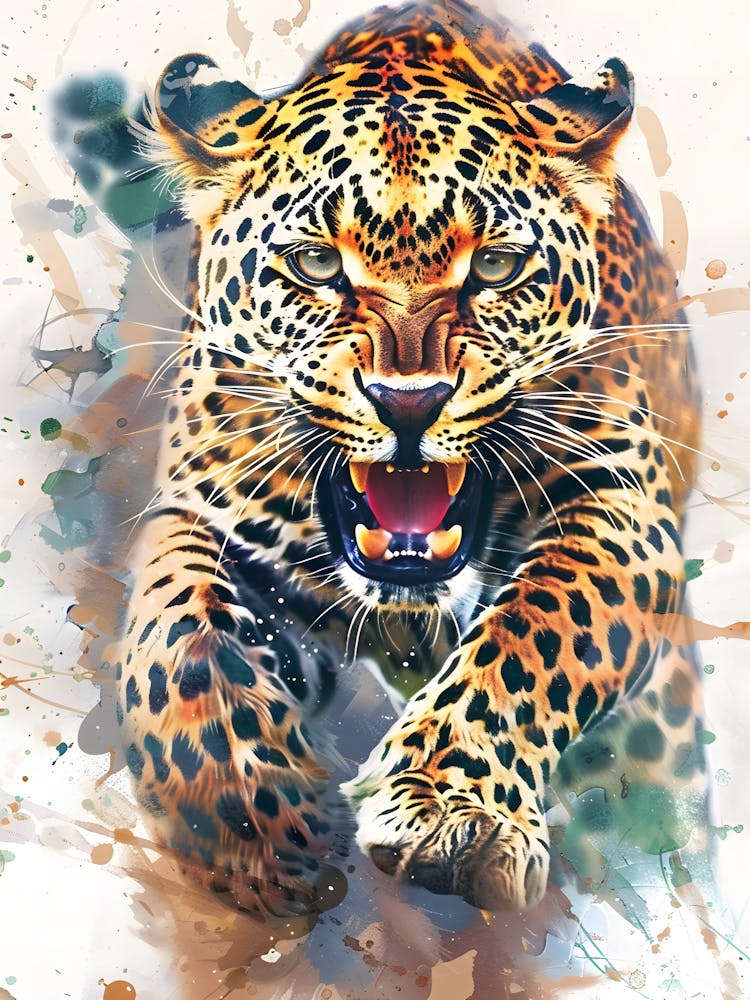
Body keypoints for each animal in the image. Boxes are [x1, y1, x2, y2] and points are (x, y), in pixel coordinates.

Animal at [112, 0, 707, 918]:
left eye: (495, 266)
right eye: (317, 262)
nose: (409, 402)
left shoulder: (622, 501)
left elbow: (537, 628)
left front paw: (452, 812)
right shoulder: (204, 501)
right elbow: (175, 631)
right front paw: (251, 819)